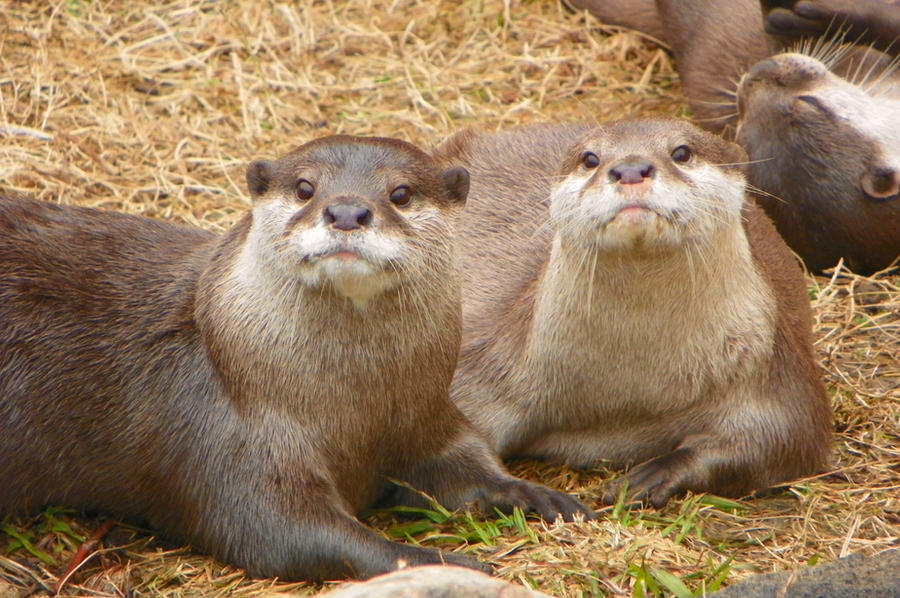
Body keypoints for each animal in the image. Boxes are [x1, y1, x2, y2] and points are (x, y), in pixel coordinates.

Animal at [0, 135, 596, 580]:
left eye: (401, 193)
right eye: (306, 187)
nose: (348, 210)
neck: (354, 413)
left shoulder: (426, 417)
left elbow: (466, 463)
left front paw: (538, 495)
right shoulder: (227, 437)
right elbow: (286, 532)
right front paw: (439, 561)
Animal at [436, 119, 828, 508]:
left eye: (682, 152)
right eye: (590, 158)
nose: (630, 169)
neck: (629, 394)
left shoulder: (771, 369)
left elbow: (783, 439)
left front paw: (655, 473)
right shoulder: (487, 364)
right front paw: (526, 493)